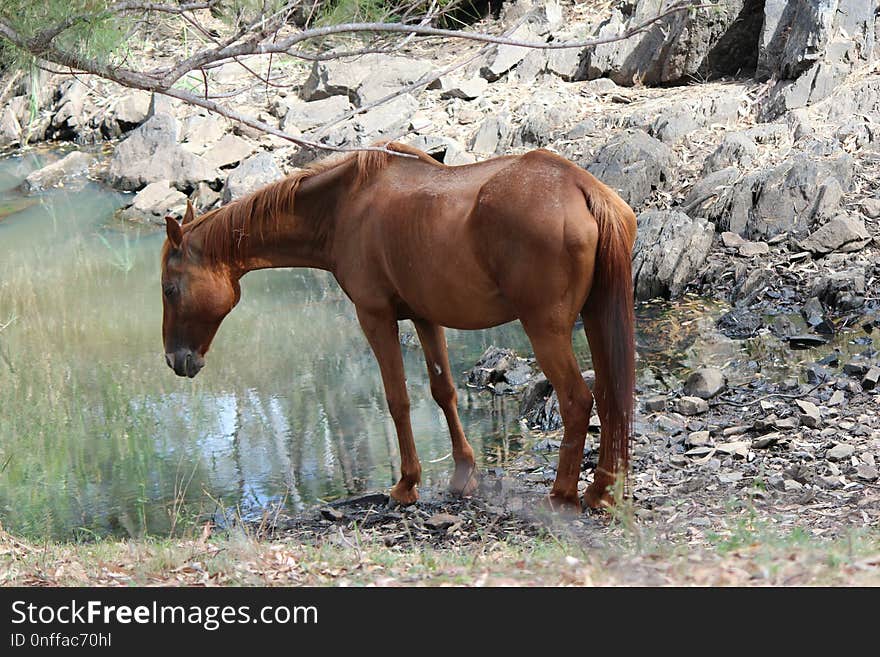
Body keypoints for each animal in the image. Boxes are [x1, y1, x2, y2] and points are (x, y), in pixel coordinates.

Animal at [160, 142, 632, 512]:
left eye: (169, 288)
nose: (175, 360)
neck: (344, 206)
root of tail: (581, 187)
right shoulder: (425, 317)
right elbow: (444, 392)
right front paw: (463, 474)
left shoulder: (375, 316)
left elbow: (397, 399)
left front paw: (407, 484)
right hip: (595, 318)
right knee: (611, 396)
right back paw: (601, 491)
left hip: (545, 329)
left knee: (577, 401)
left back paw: (562, 496)